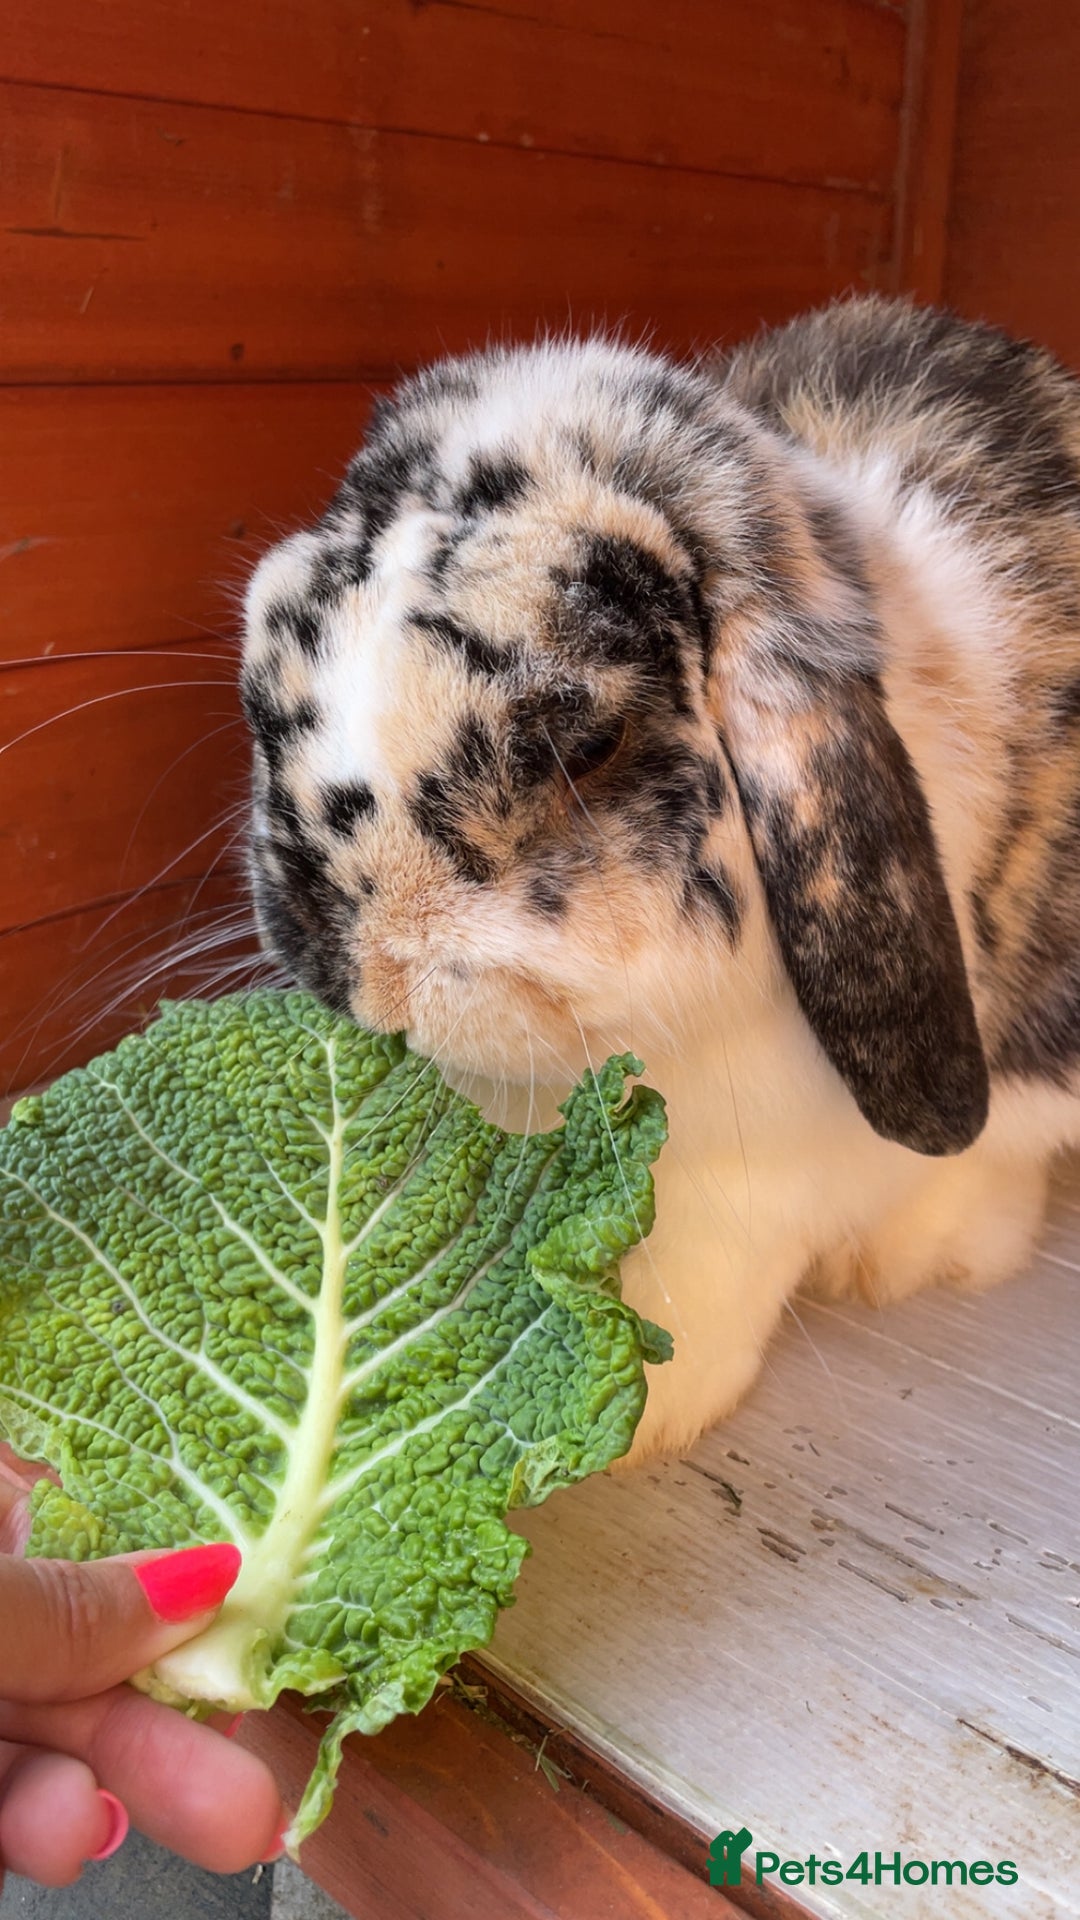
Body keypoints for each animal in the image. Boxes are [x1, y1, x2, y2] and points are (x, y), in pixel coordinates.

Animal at [239, 295, 1080, 1464]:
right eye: (266, 697)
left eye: (584, 745)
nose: (375, 974)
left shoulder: (745, 1183)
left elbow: (699, 1283)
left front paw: (640, 1416)